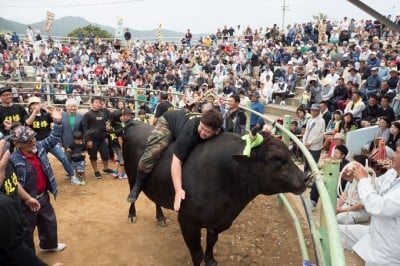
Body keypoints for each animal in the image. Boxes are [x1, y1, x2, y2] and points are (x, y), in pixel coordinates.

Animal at [123, 123, 308, 266]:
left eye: (289, 154)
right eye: (274, 159)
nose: (306, 178)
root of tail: (137, 124)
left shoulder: (218, 222)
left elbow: (211, 243)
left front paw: (211, 260)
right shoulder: (187, 222)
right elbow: (197, 254)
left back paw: (161, 217)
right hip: (131, 174)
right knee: (133, 191)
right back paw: (132, 213)